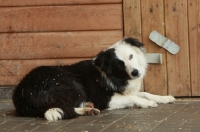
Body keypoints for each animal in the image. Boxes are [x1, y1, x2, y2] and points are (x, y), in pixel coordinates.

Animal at [12, 37, 175, 121]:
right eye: (119, 64)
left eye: (131, 56)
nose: (135, 73)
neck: (115, 77)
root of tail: (22, 93)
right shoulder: (103, 98)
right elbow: (134, 98)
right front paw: (147, 103)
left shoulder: (126, 91)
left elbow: (145, 93)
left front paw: (165, 98)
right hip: (72, 85)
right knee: (66, 106)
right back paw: (87, 109)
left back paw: (87, 109)